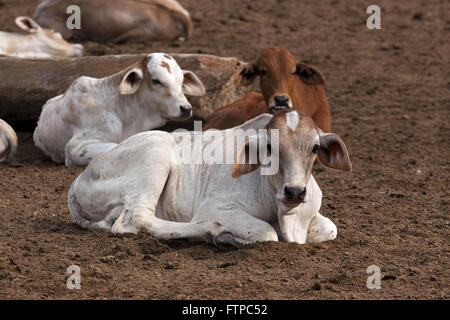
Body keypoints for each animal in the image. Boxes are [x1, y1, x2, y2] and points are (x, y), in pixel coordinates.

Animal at [68, 110, 354, 248]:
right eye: (269, 147)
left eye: (315, 148)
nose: (294, 191)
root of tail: (80, 178)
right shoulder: (217, 207)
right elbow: (267, 233)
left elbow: (330, 229)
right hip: (156, 151)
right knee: (134, 219)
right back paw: (215, 233)